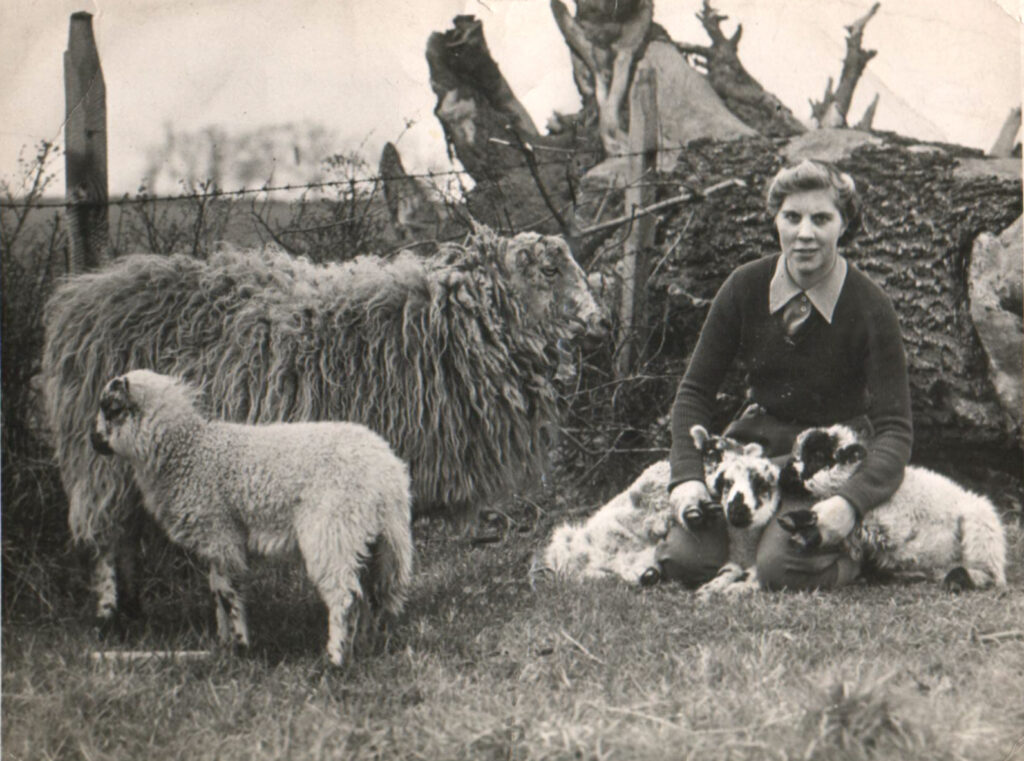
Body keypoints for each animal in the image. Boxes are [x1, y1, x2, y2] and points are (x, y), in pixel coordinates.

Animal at [46, 227, 606, 630]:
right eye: (551, 270)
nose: (600, 323)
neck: (449, 327)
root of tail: (82, 295)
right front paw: (379, 610)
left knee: (124, 536)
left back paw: (135, 610)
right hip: (97, 459)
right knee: (103, 537)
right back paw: (110, 616)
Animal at [89, 370, 411, 667]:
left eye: (111, 408)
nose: (93, 440)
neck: (187, 450)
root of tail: (387, 473)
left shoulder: (219, 532)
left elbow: (227, 593)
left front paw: (241, 645)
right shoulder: (218, 541)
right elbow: (217, 590)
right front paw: (223, 644)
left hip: (333, 530)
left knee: (345, 597)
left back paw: (335, 659)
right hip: (374, 539)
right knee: (370, 594)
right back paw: (362, 648)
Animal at [778, 426, 1003, 594]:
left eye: (817, 457)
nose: (785, 473)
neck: (852, 478)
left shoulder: (875, 520)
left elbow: (846, 525)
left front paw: (802, 528)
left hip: (982, 525)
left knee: (991, 573)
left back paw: (959, 579)